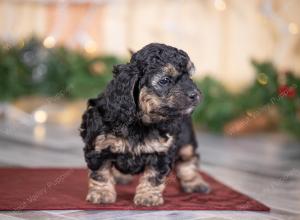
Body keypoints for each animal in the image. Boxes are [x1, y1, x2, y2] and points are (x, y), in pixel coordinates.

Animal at [80, 43, 211, 206]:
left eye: (190, 77)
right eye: (165, 80)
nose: (195, 94)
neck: (140, 122)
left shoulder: (161, 150)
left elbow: (153, 176)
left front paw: (148, 196)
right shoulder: (99, 145)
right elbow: (100, 172)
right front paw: (101, 193)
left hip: (187, 139)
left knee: (188, 160)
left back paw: (194, 182)